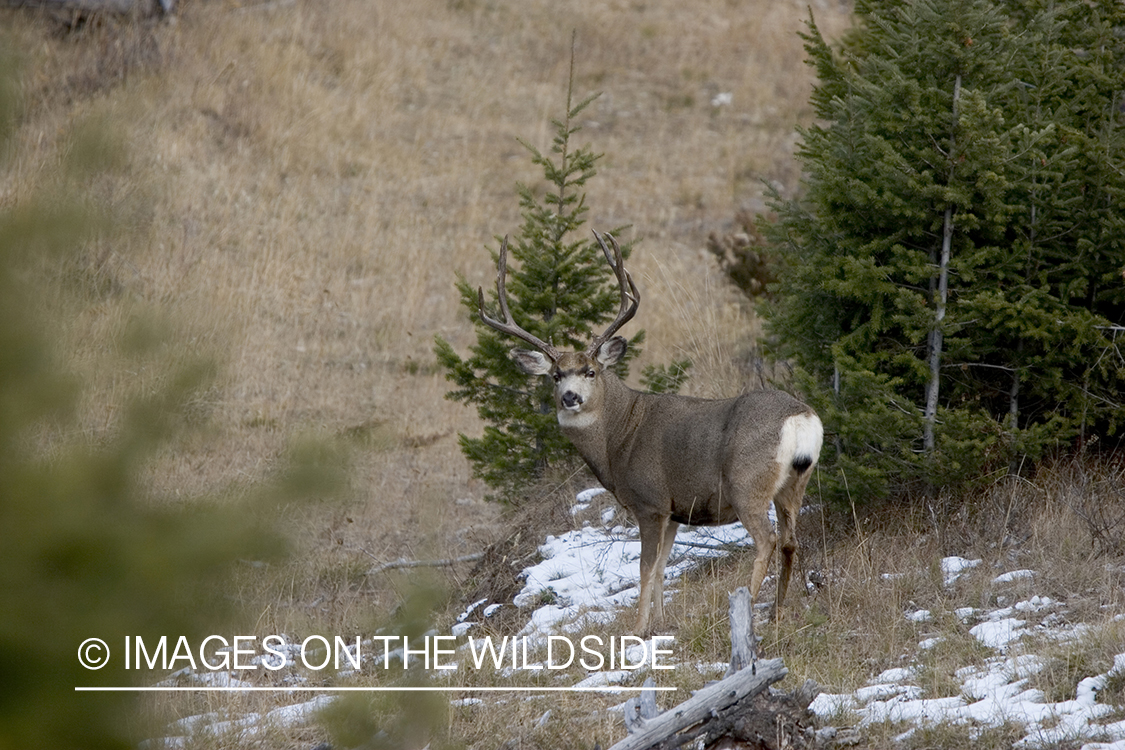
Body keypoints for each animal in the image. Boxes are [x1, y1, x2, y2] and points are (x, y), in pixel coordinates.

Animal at [477, 231, 828, 638]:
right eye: (555, 375)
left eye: (591, 371)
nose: (570, 397)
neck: (619, 438)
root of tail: (801, 418)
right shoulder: (675, 511)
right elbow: (662, 566)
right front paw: (660, 622)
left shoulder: (649, 501)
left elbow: (645, 568)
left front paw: (639, 626)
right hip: (795, 483)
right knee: (789, 542)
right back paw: (779, 612)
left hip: (747, 483)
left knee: (767, 540)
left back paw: (747, 608)